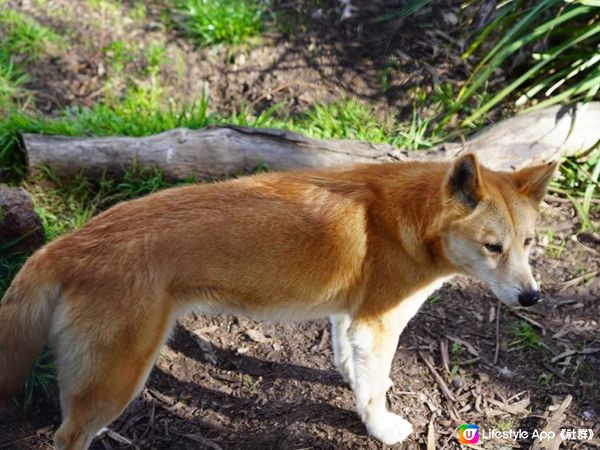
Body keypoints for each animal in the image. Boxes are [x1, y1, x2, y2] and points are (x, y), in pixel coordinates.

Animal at [0, 154, 556, 446]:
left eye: (530, 243)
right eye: (493, 247)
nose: (531, 297)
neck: (411, 221)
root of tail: (63, 245)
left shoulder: (350, 318)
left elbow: (353, 369)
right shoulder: (377, 325)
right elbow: (372, 392)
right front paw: (380, 426)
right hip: (115, 381)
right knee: (67, 436)